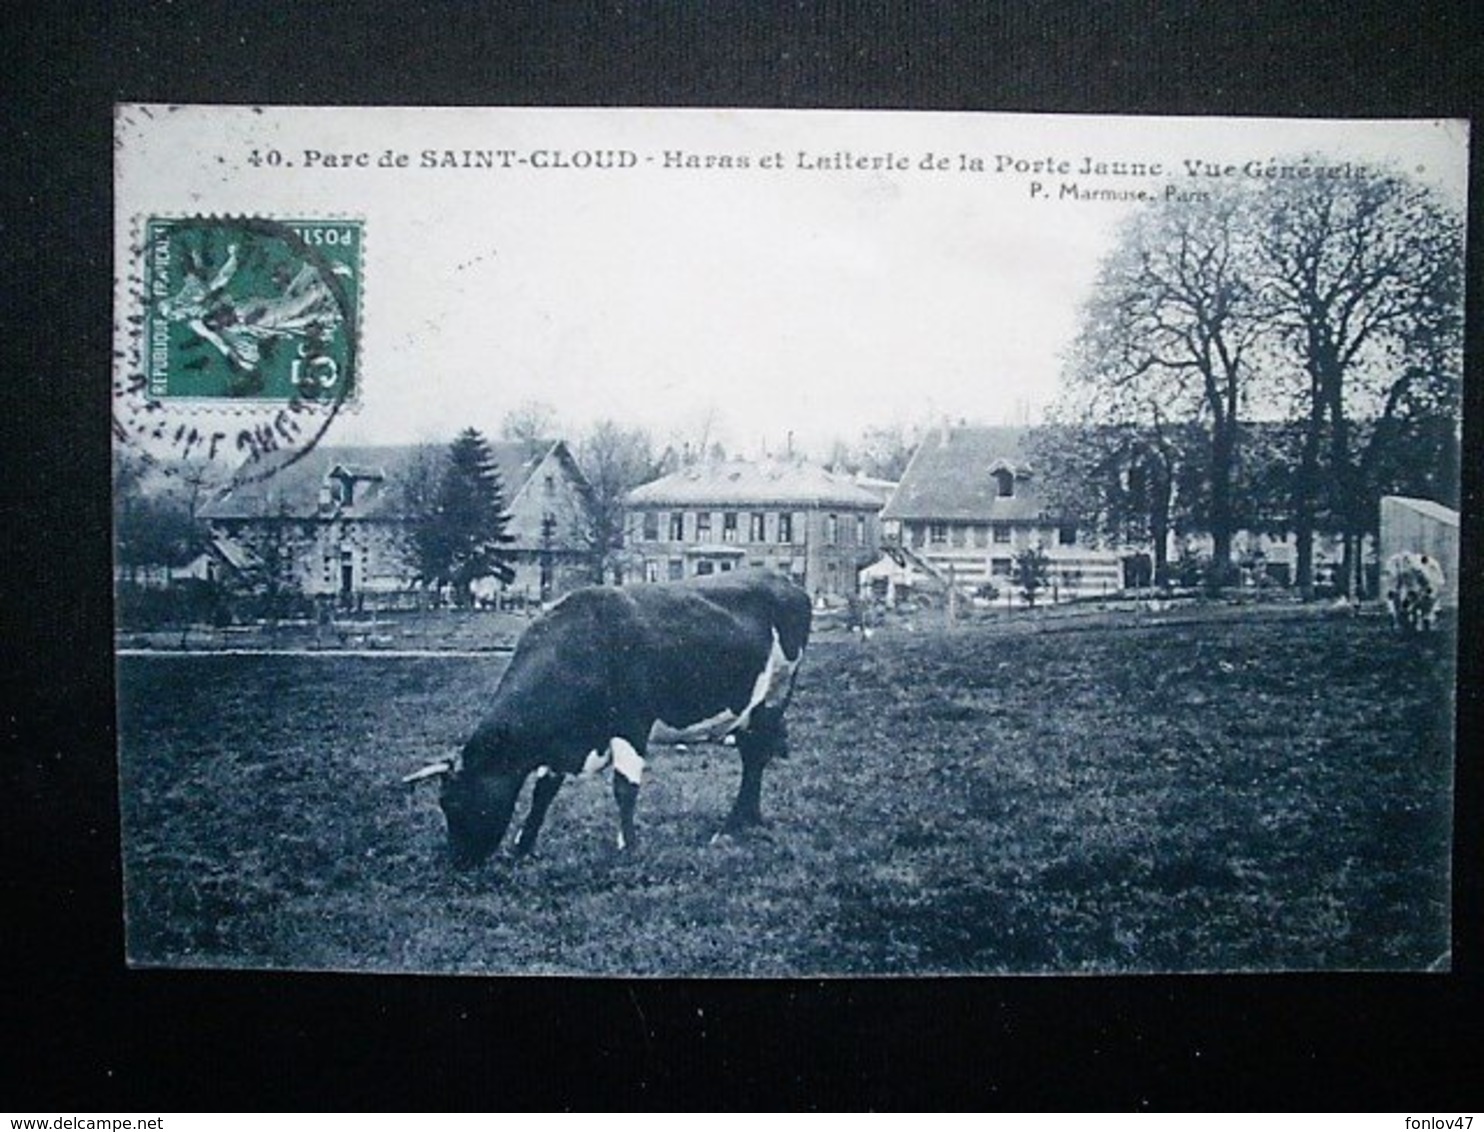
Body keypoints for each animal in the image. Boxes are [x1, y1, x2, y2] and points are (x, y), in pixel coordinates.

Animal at [406, 575, 813, 866]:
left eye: (452, 802)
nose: (458, 862)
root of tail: (785, 582)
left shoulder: (631, 725)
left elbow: (624, 788)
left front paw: (628, 847)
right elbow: (543, 791)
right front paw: (522, 846)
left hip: (776, 692)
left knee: (755, 755)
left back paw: (733, 826)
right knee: (752, 752)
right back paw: (747, 820)